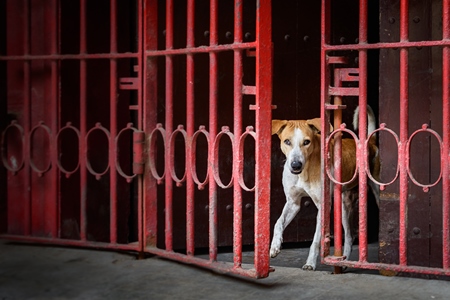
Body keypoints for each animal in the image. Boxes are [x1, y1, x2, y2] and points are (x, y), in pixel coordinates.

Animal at [270, 106, 380, 270]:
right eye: (287, 141)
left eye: (306, 142)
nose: (295, 165)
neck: (304, 171)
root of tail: (370, 142)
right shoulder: (292, 203)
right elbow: (278, 222)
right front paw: (274, 246)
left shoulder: (323, 206)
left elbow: (316, 240)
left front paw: (310, 262)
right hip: (344, 206)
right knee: (349, 235)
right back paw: (344, 261)